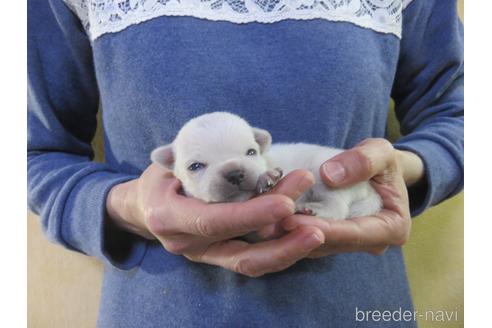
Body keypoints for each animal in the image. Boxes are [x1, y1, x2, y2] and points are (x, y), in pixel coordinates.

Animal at [152, 111, 382, 219]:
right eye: (195, 166)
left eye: (251, 152)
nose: (235, 173)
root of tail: (369, 188)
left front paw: (267, 177)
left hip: (328, 178)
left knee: (338, 207)